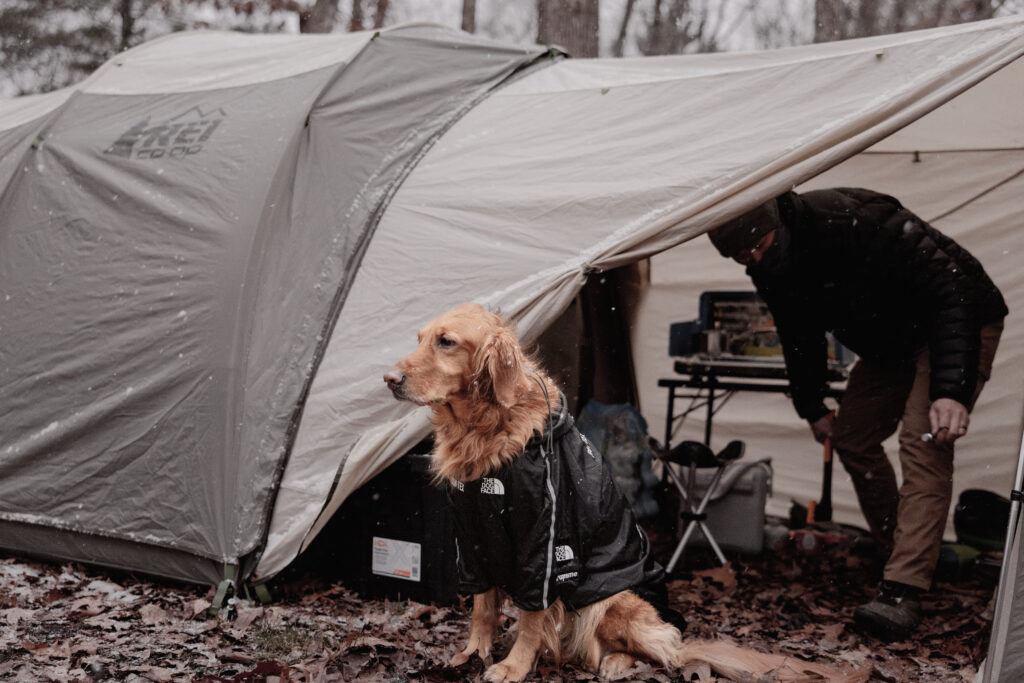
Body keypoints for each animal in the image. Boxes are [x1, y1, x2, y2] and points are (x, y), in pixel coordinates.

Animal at [385, 305, 864, 683]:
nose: (388, 378)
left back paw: (617, 663)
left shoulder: (545, 548)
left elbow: (531, 619)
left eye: (446, 342)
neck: (484, 430)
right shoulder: (475, 539)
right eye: (420, 338)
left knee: (667, 648)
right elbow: (482, 609)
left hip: (612, 601)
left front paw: (513, 666)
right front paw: (470, 655)